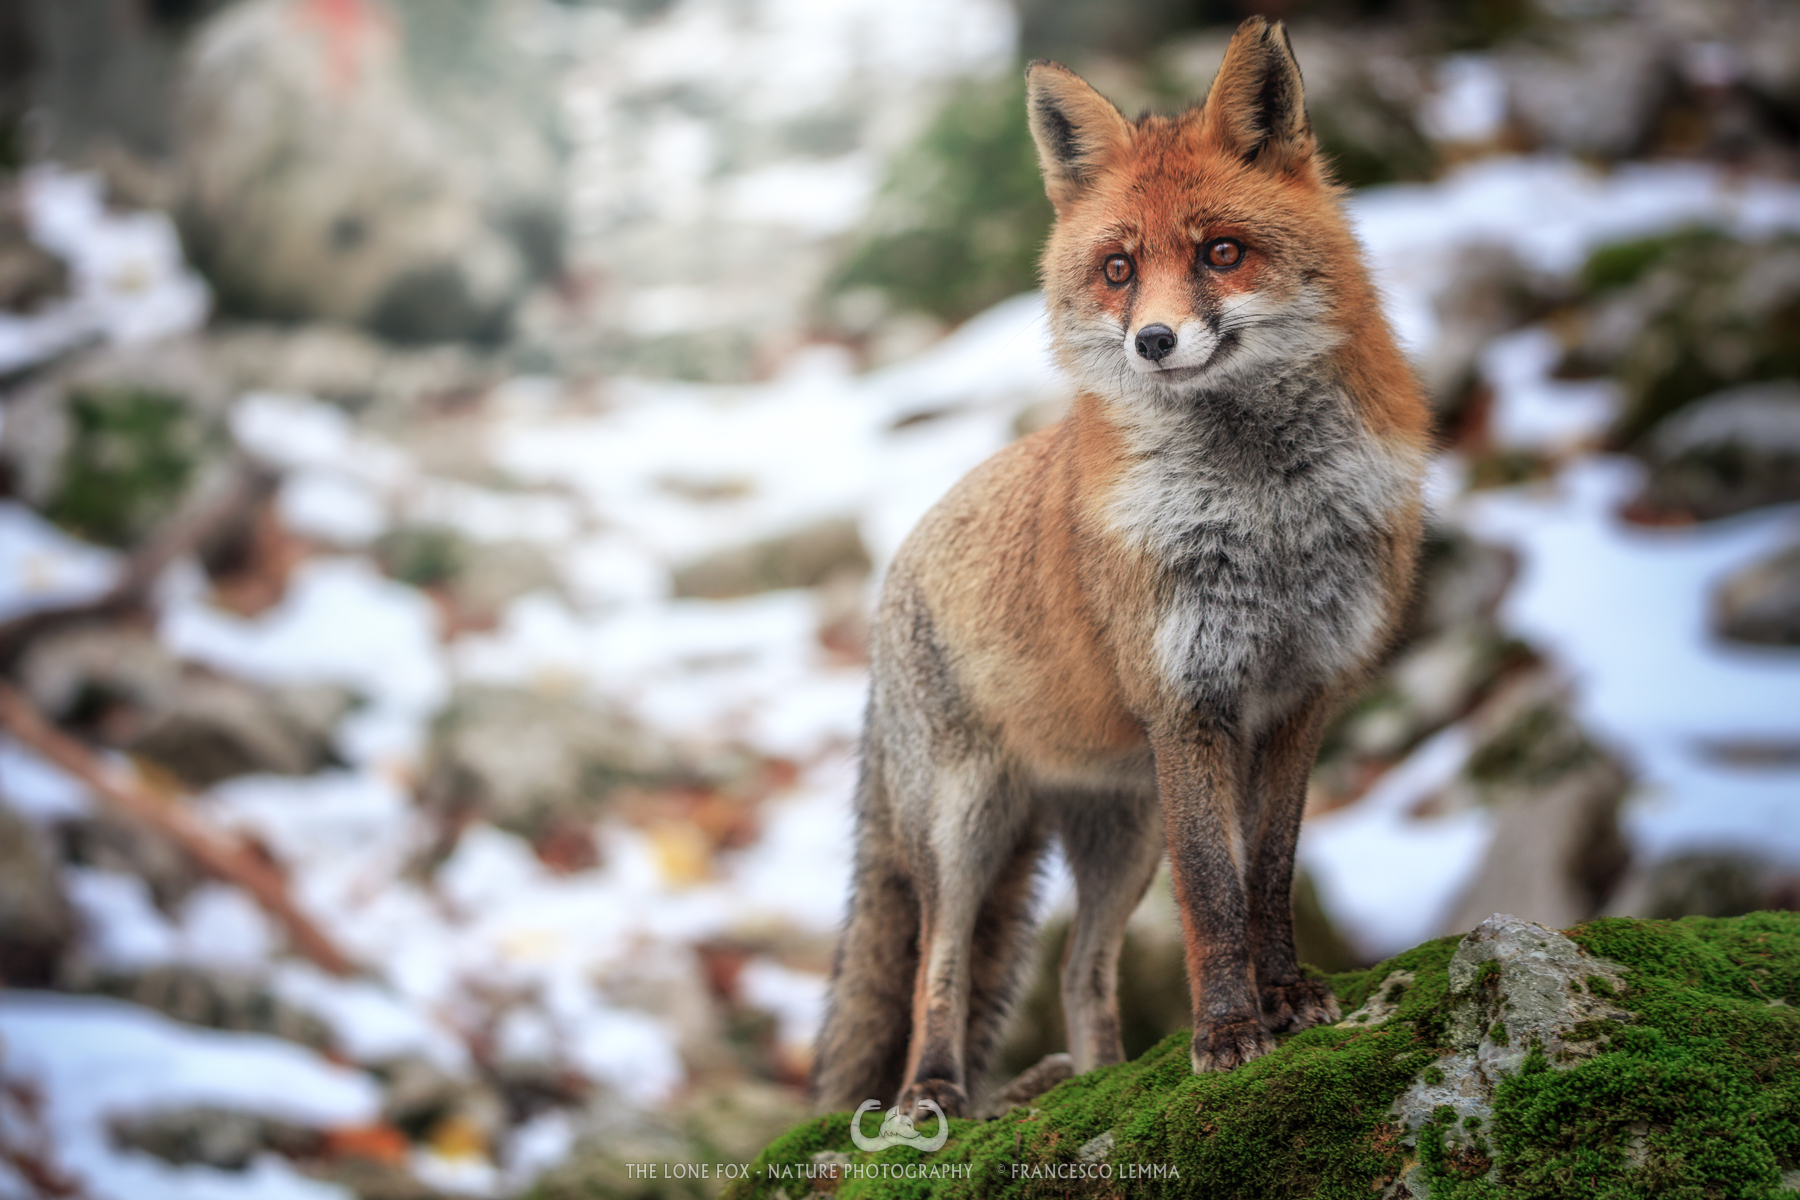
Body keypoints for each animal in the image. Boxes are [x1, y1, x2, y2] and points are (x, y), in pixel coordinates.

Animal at [813, 17, 1430, 1120]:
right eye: (1116, 269)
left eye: (1222, 253)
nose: (1152, 341)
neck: (1264, 511)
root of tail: (896, 566)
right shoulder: (1188, 703)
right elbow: (1216, 895)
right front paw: (1228, 1034)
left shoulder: (1301, 696)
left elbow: (1269, 875)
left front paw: (1286, 1000)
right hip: (965, 829)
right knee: (938, 962)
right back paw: (934, 1092)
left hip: (1119, 836)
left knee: (1078, 970)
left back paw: (1091, 1079)